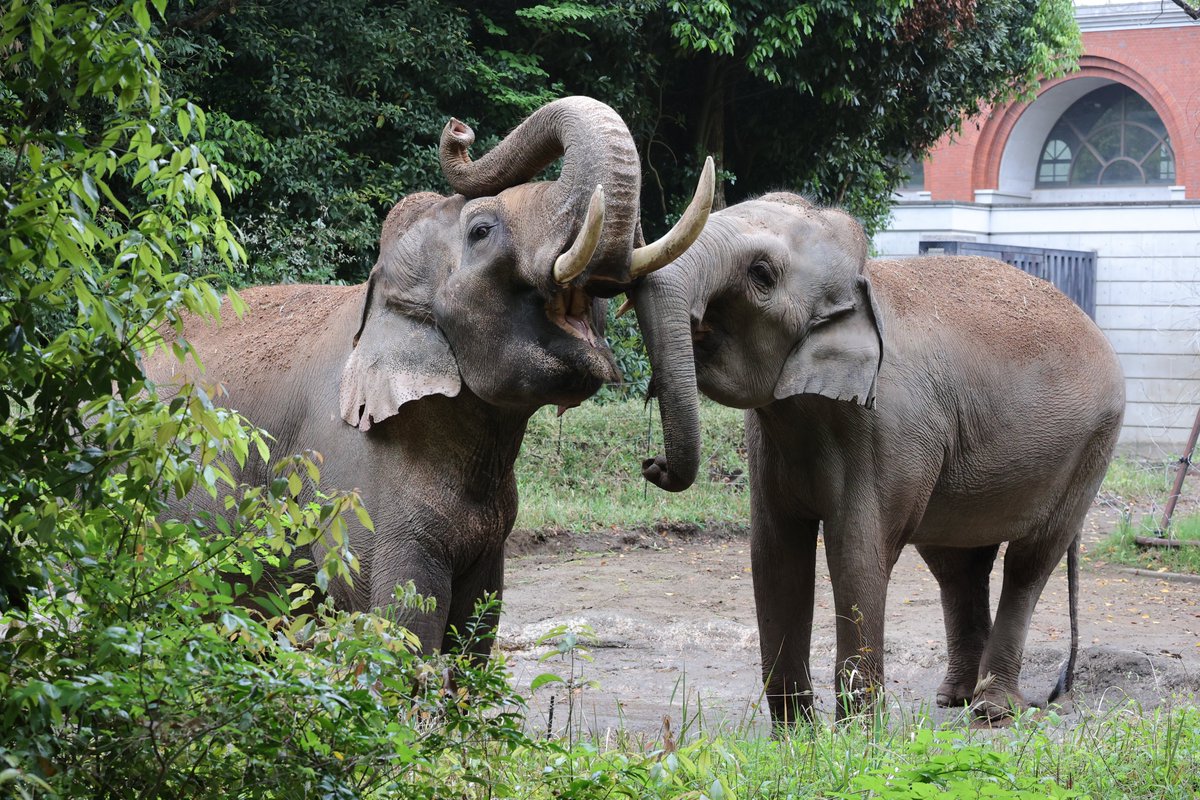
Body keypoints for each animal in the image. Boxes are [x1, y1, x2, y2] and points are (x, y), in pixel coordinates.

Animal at [633, 191, 1128, 719]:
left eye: (761, 274)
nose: (653, 464)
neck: (862, 283)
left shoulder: (887, 430)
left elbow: (857, 553)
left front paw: (854, 732)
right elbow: (774, 555)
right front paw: (797, 732)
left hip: (1092, 449)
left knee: (1029, 562)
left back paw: (991, 711)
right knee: (957, 564)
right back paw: (954, 698)